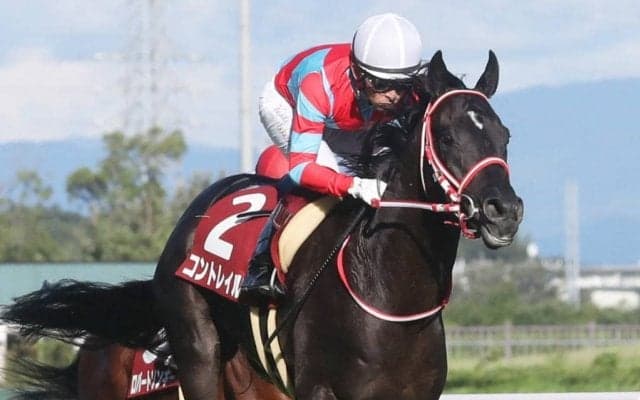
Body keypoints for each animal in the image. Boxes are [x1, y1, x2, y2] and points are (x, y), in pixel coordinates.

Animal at [2, 50, 523, 400]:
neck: (389, 291)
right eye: (448, 135)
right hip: (196, 344)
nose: (505, 209)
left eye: (504, 135)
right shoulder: (321, 391)